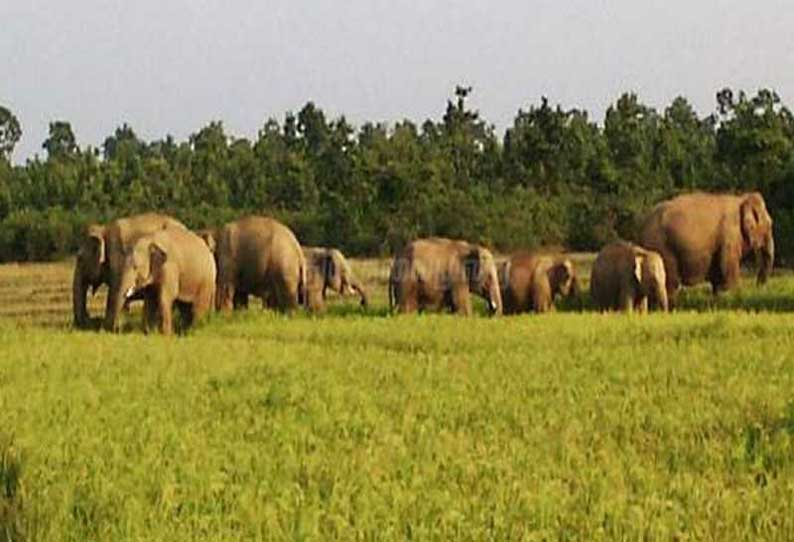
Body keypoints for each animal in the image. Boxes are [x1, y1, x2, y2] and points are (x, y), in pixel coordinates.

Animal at [636, 192, 772, 304]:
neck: (741, 199)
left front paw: (718, 298)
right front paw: (732, 295)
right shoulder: (730, 235)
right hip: (663, 246)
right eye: (770, 225)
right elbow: (727, 267)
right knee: (670, 282)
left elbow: (718, 273)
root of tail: (641, 227)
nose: (758, 287)